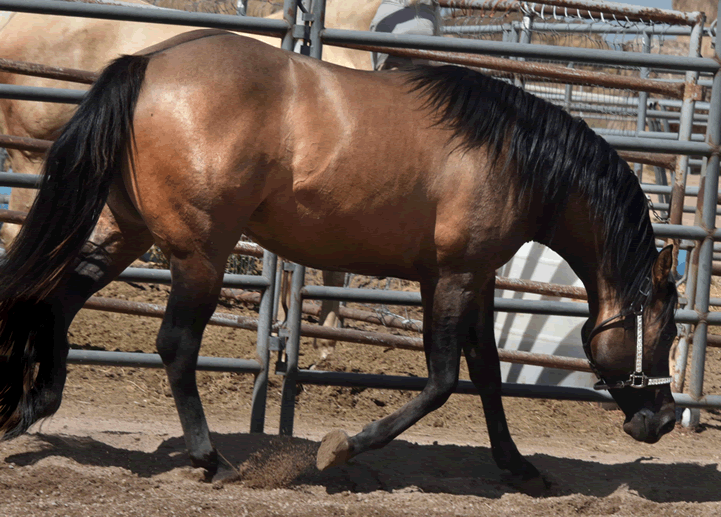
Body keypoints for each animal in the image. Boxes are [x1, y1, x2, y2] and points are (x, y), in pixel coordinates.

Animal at [0, 31, 680, 484]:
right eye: (667, 331)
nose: (665, 421)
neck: (512, 155)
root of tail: (147, 63)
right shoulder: (457, 277)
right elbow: (442, 380)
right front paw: (341, 449)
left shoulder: (470, 278)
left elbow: (485, 372)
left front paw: (518, 468)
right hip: (199, 255)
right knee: (174, 345)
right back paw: (211, 460)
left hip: (128, 233)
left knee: (58, 300)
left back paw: (33, 409)